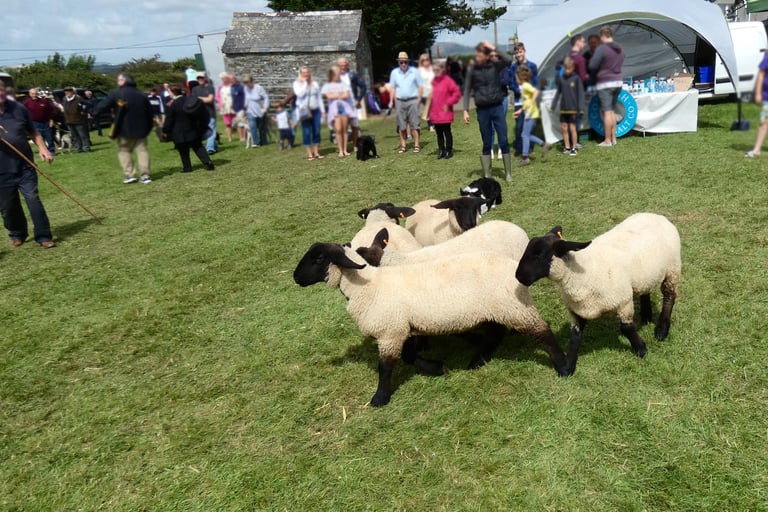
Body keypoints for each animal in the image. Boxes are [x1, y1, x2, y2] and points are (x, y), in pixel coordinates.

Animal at [294, 239, 571, 407]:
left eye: (318, 259)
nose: (296, 277)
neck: (367, 287)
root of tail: (515, 269)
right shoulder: (403, 328)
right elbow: (408, 357)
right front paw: (437, 368)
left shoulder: (390, 331)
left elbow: (386, 367)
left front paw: (379, 398)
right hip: (495, 309)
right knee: (495, 334)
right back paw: (478, 360)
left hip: (513, 307)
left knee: (542, 331)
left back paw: (563, 366)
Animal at [514, 212, 681, 373]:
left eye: (539, 254)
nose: (518, 276)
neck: (580, 275)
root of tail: (656, 215)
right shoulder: (577, 310)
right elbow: (575, 337)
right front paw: (568, 367)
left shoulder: (623, 301)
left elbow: (626, 328)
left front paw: (641, 349)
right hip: (645, 275)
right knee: (645, 290)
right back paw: (646, 316)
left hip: (672, 268)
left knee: (669, 296)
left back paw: (662, 329)